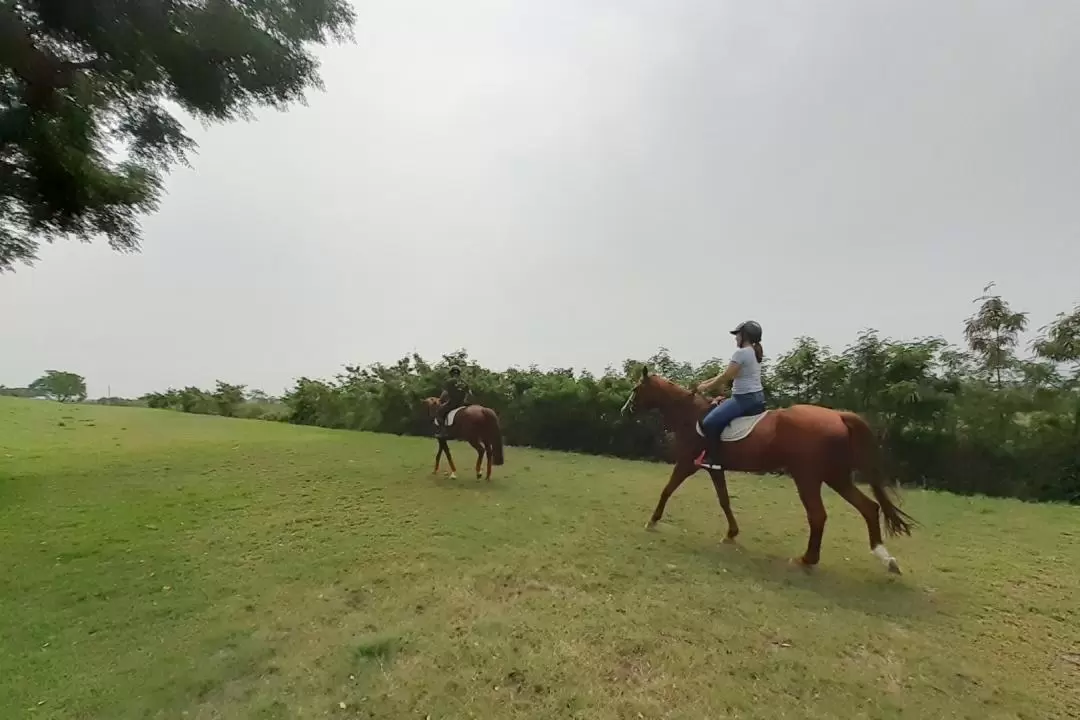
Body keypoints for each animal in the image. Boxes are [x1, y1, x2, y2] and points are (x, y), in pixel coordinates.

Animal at [622, 367, 915, 574]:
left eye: (636, 388)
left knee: (818, 515)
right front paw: (731, 534)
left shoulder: (687, 464)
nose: (626, 410)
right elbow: (724, 500)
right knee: (869, 508)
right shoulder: (714, 468)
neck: (692, 415)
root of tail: (839, 416)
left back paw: (807, 560)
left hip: (808, 477)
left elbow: (667, 489)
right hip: (836, 477)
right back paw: (886, 559)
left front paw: (652, 520)